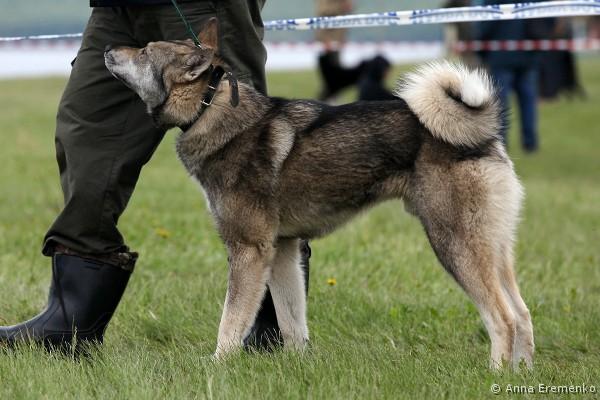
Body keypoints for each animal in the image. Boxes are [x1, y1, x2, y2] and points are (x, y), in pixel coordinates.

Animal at [104, 17, 534, 369]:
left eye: (144, 51)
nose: (108, 48)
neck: (212, 110)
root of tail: (483, 134)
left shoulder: (249, 250)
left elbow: (231, 321)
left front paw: (217, 366)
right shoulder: (282, 250)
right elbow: (292, 321)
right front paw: (298, 368)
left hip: (454, 244)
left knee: (503, 319)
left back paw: (495, 375)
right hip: (494, 248)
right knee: (523, 314)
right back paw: (522, 376)